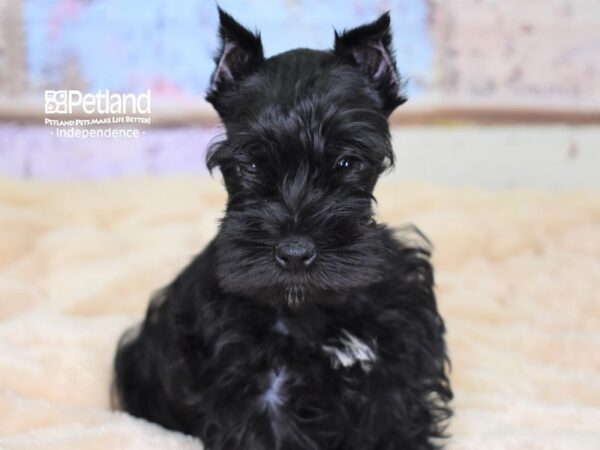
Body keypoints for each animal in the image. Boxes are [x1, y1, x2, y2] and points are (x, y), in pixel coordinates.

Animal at [113, 7, 450, 450]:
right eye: (250, 165)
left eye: (347, 162)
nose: (294, 253)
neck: (311, 307)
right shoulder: (260, 391)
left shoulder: (396, 370)